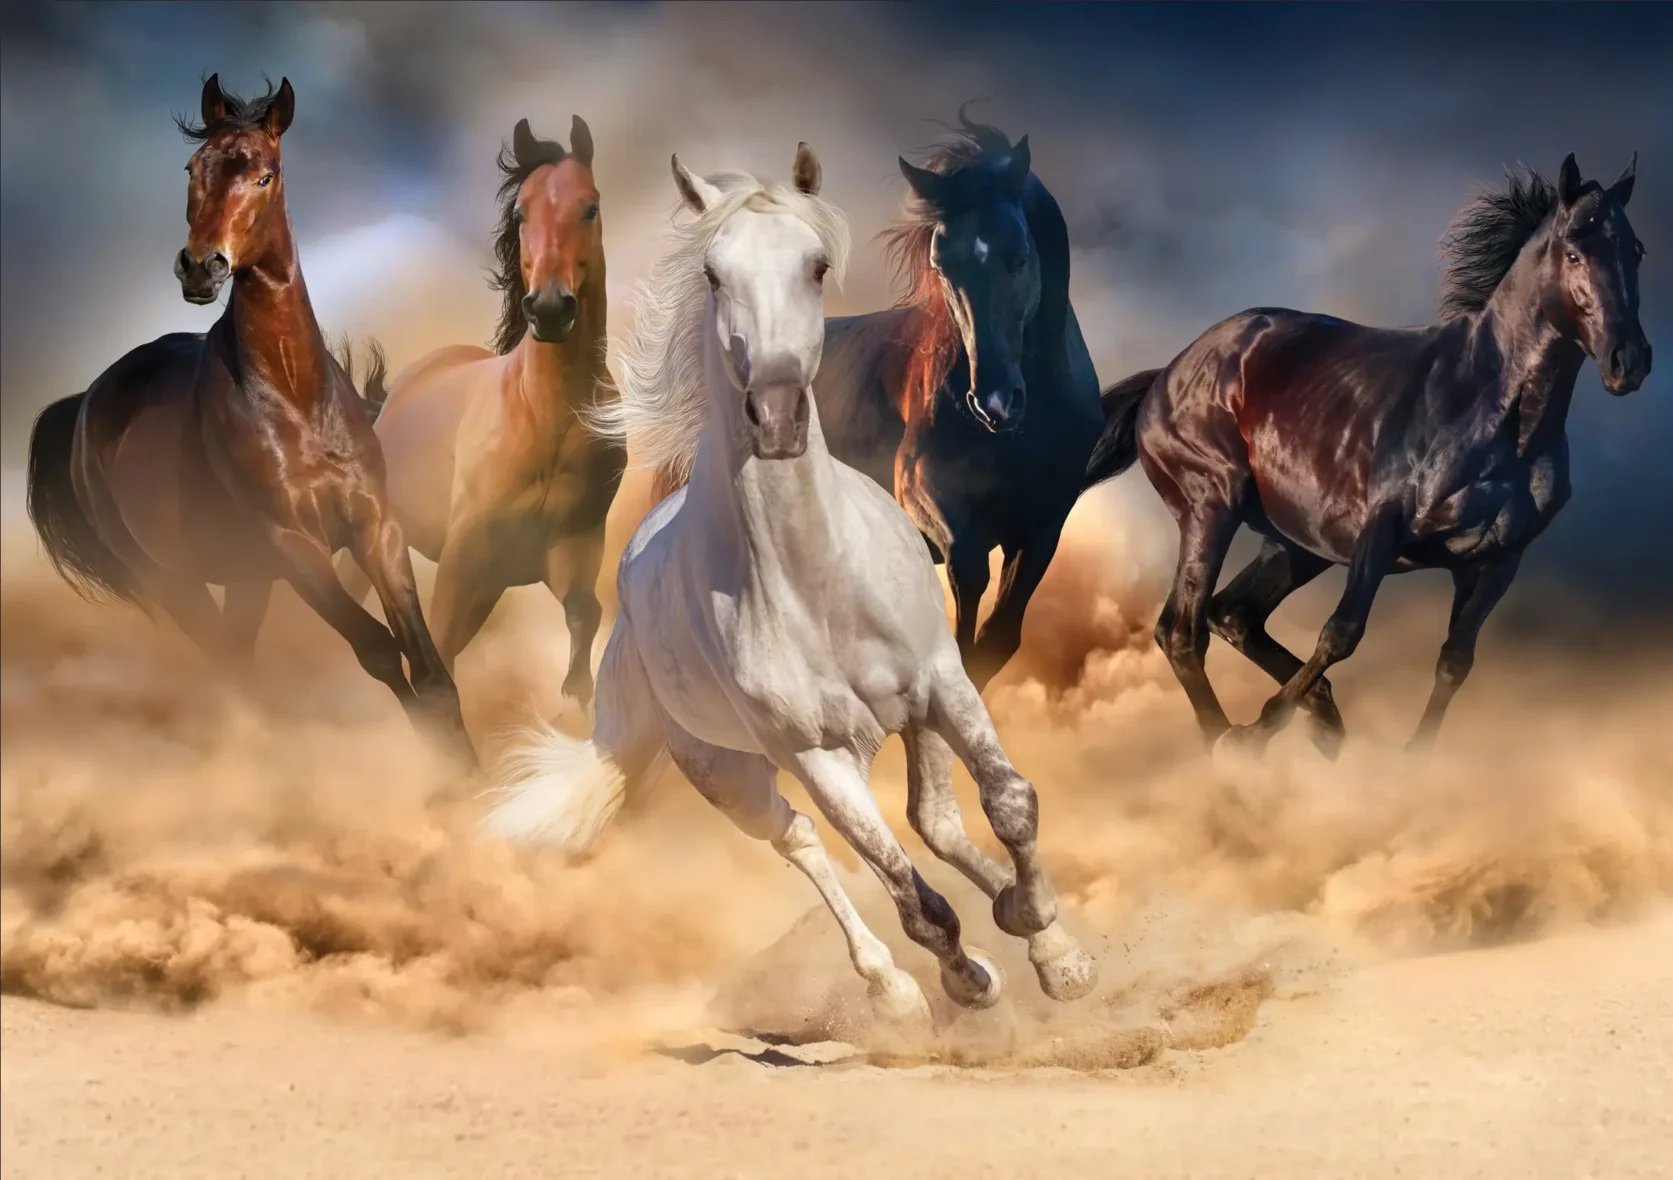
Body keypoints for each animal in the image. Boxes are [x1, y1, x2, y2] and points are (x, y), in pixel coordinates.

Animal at [23, 75, 473, 765]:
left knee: (236, 657)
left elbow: (428, 667)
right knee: (228, 666)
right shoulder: (293, 545)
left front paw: (474, 775)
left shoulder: (376, 528)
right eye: (192, 168)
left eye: (265, 175)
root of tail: (85, 403)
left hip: (245, 579)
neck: (296, 398)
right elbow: (377, 651)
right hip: (174, 582)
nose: (200, 266)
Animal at [337, 117, 622, 708]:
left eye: (590, 207)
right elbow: (439, 653)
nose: (550, 308)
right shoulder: (466, 559)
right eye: (521, 213)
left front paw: (575, 700)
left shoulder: (569, 550)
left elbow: (586, 614)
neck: (546, 418)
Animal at [484, 145, 1098, 1027]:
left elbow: (1008, 802)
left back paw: (1019, 921)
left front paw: (1054, 947)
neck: (819, 582)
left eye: (815, 266)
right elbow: (910, 897)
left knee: (935, 821)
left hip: (908, 720)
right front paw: (966, 979)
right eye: (712, 274)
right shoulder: (815, 756)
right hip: (730, 774)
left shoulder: (941, 682)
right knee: (801, 841)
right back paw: (893, 987)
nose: (774, 416)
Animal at [652, 110, 1139, 693]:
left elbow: (997, 639)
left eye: (1019, 257)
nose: (994, 401)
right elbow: (965, 602)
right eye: (942, 264)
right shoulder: (930, 503)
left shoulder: (1043, 527)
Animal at [1090, 153, 1651, 756]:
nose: (1630, 361)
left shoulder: (1498, 560)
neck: (1493, 414)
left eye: (1636, 250)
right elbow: (1341, 633)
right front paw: (1258, 734)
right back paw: (1229, 742)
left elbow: (1455, 660)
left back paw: (1322, 719)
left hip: (1295, 543)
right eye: (1573, 251)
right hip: (1210, 507)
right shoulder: (1381, 531)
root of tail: (1166, 374)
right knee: (1182, 629)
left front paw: (1410, 759)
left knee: (1233, 614)